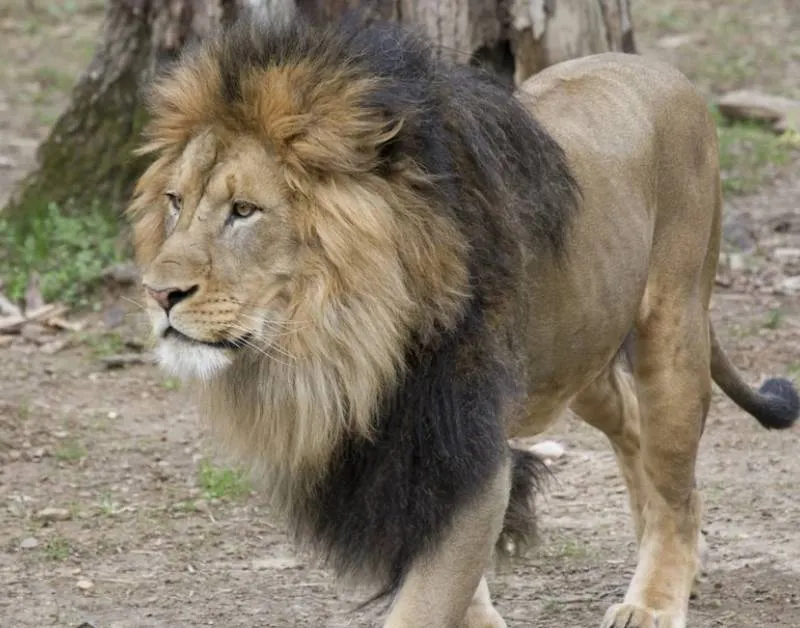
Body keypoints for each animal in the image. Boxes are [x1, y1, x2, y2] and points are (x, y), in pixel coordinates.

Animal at [126, 12, 799, 628]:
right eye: (175, 202)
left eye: (244, 210)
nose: (158, 294)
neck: (340, 342)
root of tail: (664, 72)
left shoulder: (463, 448)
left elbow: (426, 602)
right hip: (577, 357)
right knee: (634, 431)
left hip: (672, 331)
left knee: (675, 483)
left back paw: (656, 598)